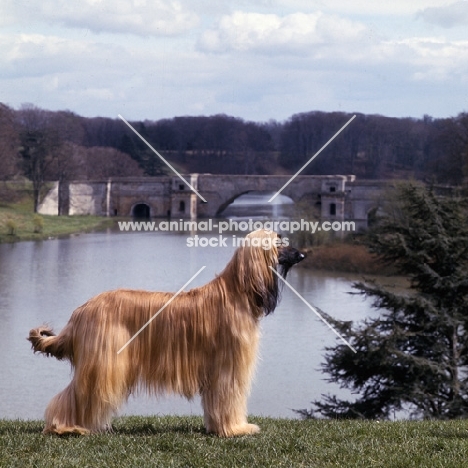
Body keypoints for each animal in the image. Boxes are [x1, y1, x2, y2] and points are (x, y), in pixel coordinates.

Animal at [30, 229, 308, 436]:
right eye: (279, 242)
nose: (303, 254)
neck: (236, 293)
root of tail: (80, 311)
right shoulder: (228, 366)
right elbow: (229, 398)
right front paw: (236, 429)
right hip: (104, 362)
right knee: (77, 394)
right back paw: (67, 427)